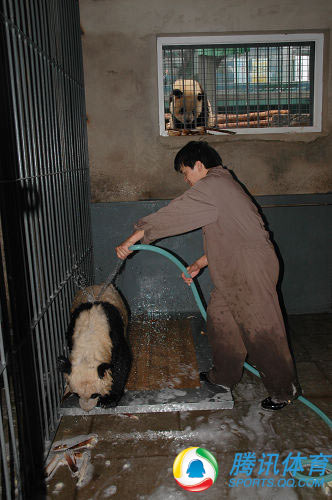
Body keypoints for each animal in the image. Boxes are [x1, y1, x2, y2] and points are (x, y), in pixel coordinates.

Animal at [57, 284, 131, 412]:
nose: (87, 409)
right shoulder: (72, 334)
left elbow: (121, 364)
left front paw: (108, 400)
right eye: (77, 394)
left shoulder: (114, 336)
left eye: (94, 395)